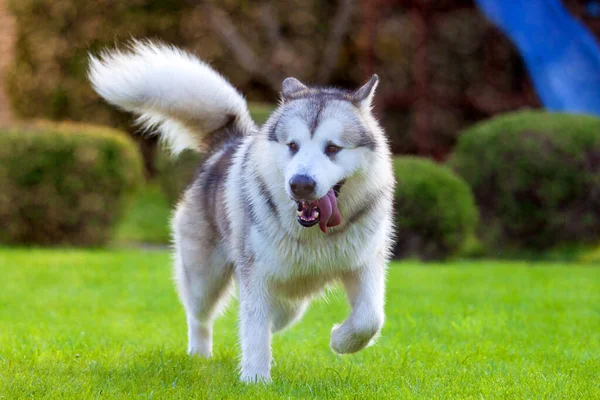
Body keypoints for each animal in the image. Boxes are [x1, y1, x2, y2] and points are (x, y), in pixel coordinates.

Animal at [86, 41, 396, 384]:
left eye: (332, 149)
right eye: (292, 146)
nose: (300, 184)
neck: (313, 235)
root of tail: (228, 144)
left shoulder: (365, 263)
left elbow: (370, 319)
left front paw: (341, 340)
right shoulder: (256, 273)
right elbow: (255, 328)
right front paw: (256, 379)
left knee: (288, 309)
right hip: (203, 277)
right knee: (200, 317)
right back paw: (199, 355)